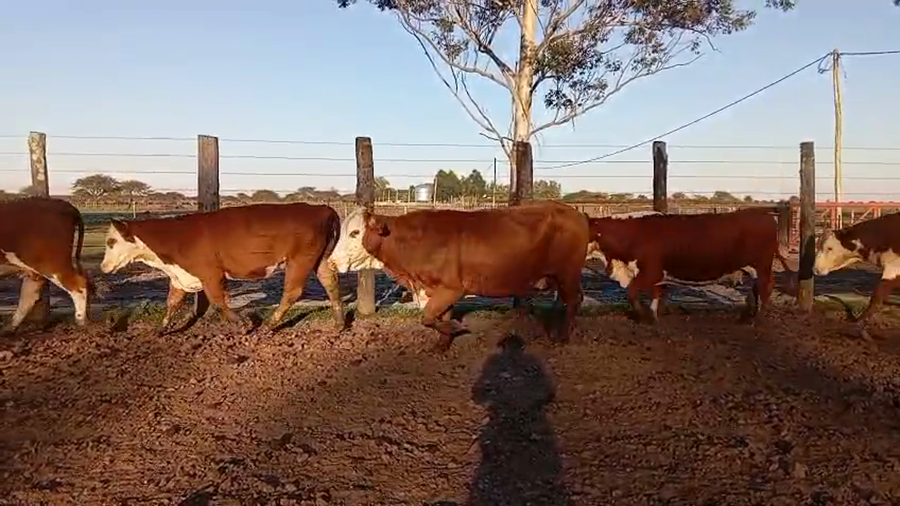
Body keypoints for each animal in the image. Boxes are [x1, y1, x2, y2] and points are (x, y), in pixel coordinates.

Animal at [0, 197, 90, 333]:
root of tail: (63, 204)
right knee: (29, 294)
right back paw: (9, 328)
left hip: (53, 264)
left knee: (78, 285)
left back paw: (80, 323)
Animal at [99, 203, 345, 334]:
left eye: (111, 242)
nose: (103, 266)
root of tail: (321, 209)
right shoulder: (180, 276)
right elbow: (172, 303)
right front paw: (161, 329)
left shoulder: (210, 273)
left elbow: (218, 301)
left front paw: (242, 324)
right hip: (320, 260)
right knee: (330, 283)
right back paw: (340, 323)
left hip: (299, 260)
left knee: (292, 292)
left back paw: (269, 324)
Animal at [329, 201, 591, 351]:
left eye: (355, 232)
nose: (331, 261)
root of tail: (576, 213)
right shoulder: (438, 290)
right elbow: (437, 317)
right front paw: (443, 342)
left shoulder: (452, 289)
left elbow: (428, 317)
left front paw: (454, 328)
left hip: (567, 273)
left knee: (573, 301)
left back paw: (562, 337)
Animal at [587, 204, 793, 323]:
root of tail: (766, 216)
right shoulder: (655, 274)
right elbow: (655, 293)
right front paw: (653, 316)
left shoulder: (650, 272)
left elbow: (631, 293)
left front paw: (644, 316)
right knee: (756, 288)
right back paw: (747, 314)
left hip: (762, 265)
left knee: (766, 286)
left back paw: (757, 318)